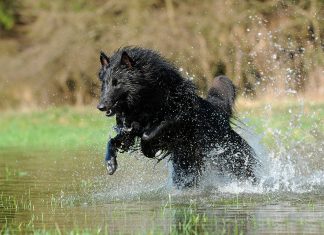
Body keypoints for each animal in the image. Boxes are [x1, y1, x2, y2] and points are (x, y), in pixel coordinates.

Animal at [97, 47, 256, 187]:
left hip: (231, 158)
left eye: (117, 83)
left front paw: (148, 150)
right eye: (104, 83)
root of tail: (218, 112)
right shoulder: (129, 131)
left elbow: (148, 135)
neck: (146, 98)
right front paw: (110, 163)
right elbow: (112, 142)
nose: (100, 106)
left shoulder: (176, 117)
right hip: (185, 166)